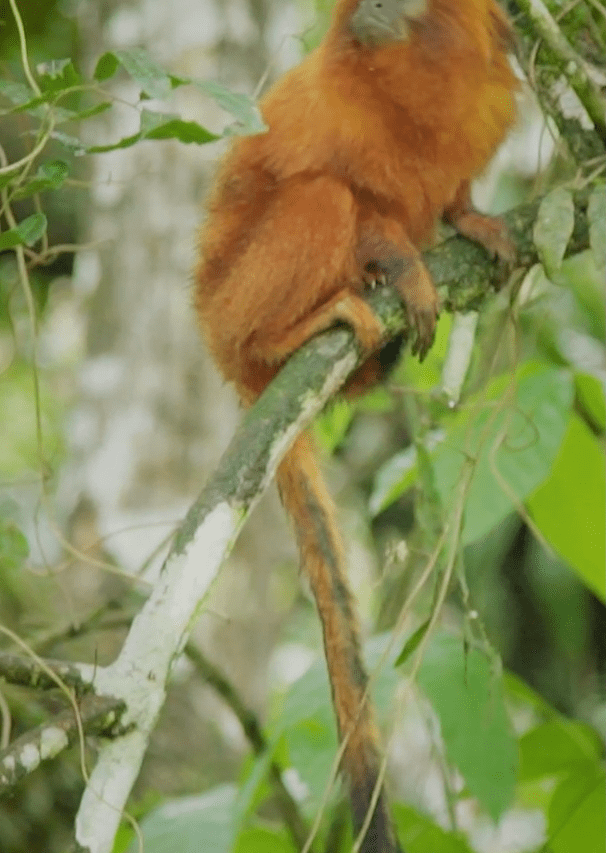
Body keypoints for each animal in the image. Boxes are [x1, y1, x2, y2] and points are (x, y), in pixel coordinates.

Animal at [196, 0, 517, 850]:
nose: (372, 11)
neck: (417, 85)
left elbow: (453, 191)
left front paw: (470, 218)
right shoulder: (331, 110)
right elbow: (358, 203)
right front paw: (403, 265)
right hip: (231, 301)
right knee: (321, 200)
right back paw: (295, 331)